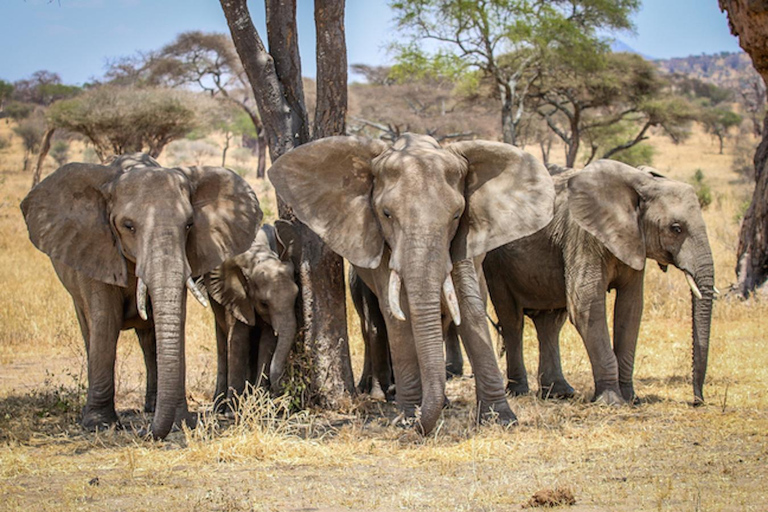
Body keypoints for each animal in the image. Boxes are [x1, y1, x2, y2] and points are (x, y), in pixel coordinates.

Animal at [21, 154, 262, 438]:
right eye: (128, 226)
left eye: (189, 225)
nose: (143, 432)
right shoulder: (94, 250)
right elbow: (105, 321)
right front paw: (100, 424)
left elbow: (175, 320)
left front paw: (181, 422)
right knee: (90, 330)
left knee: (149, 340)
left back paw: (151, 406)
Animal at [207, 221, 304, 408]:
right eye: (264, 303)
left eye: (297, 296)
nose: (285, 390)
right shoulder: (236, 297)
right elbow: (237, 341)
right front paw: (233, 409)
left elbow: (267, 342)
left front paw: (260, 402)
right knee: (222, 343)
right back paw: (218, 407)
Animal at [268, 134, 556, 434]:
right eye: (386, 214)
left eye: (456, 215)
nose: (418, 421)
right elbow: (397, 316)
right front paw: (406, 419)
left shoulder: (463, 240)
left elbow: (469, 307)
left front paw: (501, 420)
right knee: (374, 323)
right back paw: (384, 394)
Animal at [486, 162, 712, 406]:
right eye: (676, 228)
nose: (697, 401)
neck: (641, 183)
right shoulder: (583, 235)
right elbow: (587, 307)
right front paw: (612, 402)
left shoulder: (634, 242)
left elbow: (630, 310)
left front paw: (631, 399)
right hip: (496, 263)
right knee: (513, 321)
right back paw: (519, 392)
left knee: (550, 323)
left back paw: (559, 393)